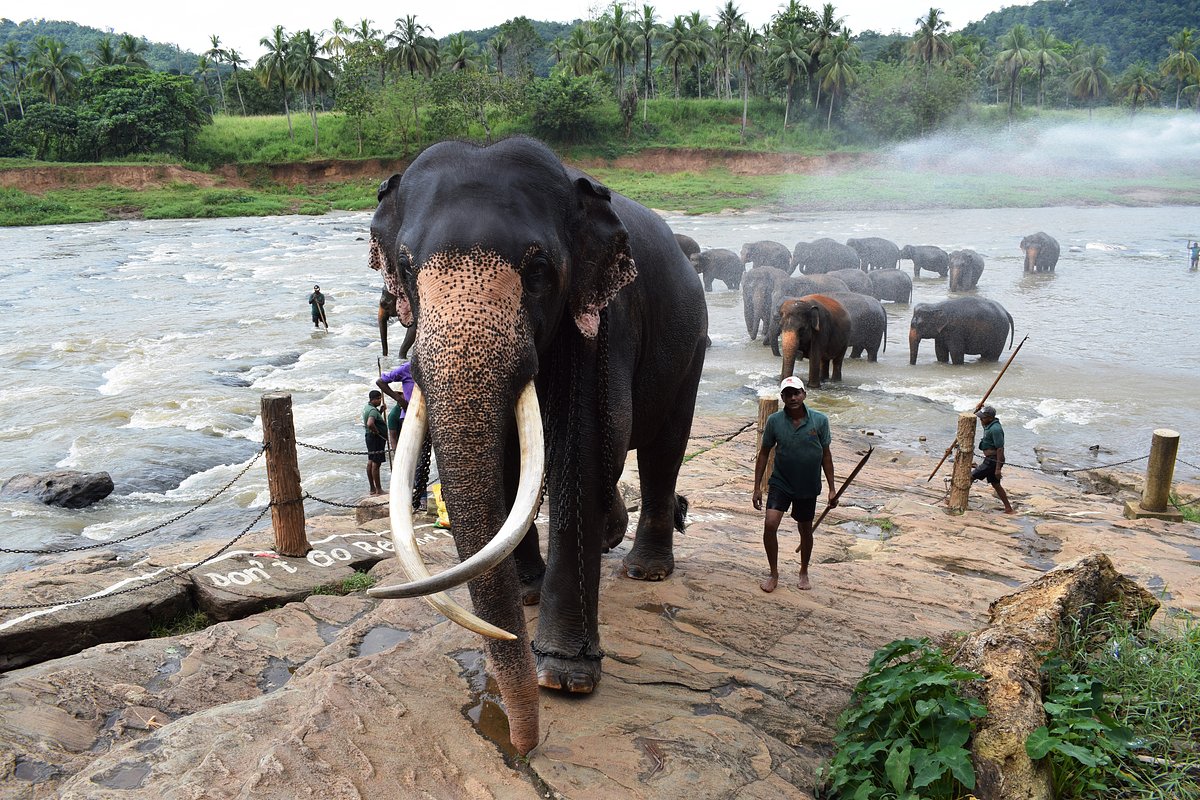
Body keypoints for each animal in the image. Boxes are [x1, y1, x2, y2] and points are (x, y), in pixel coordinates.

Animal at [360, 137, 705, 758]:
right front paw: (524, 597)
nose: (520, 744)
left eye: (540, 269)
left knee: (663, 449)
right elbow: (509, 461)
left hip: (691, 348)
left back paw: (645, 572)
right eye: (405, 266)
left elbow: (585, 450)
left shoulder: (602, 324)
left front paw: (564, 679)